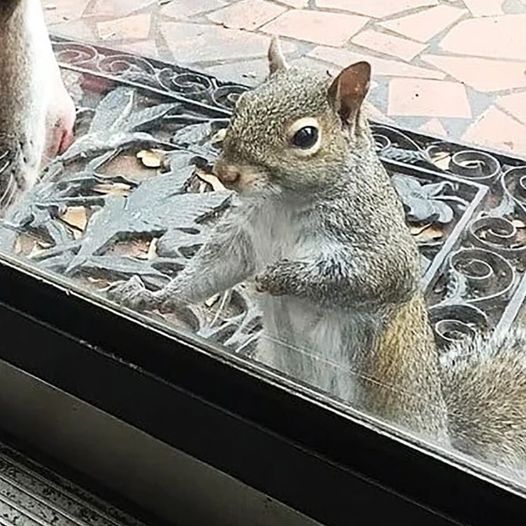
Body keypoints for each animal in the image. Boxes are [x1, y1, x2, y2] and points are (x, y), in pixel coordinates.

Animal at [109, 36, 526, 474]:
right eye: (242, 103)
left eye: (306, 136)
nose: (226, 174)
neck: (285, 202)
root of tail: (442, 427)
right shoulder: (243, 236)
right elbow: (211, 269)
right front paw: (155, 296)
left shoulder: (378, 243)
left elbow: (369, 276)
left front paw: (280, 276)